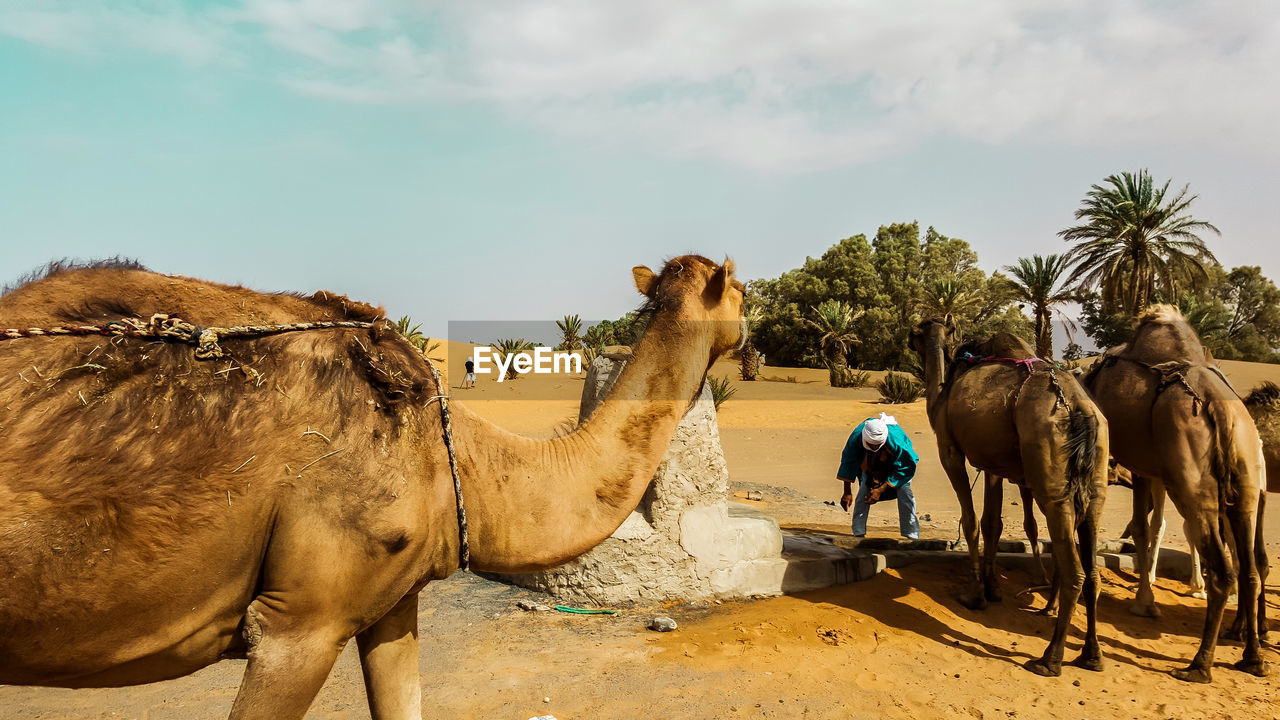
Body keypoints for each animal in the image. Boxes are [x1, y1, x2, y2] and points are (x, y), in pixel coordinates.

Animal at [911, 316, 1111, 676]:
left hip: (1051, 476)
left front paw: (975, 595)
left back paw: (1050, 659)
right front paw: (992, 589)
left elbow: (971, 521)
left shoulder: (949, 450)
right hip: (1097, 479)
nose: (908, 339)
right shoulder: (992, 462)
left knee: (1073, 569)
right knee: (1092, 568)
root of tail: (1079, 411)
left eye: (916, 332)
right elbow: (993, 521)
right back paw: (1092, 656)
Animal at [1080, 302, 1269, 676]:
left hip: (1193, 483)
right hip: (1246, 484)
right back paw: (1252, 657)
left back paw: (1200, 664)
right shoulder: (1152, 469)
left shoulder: (1141, 468)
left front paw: (1144, 603)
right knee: (1251, 571)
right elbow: (1150, 526)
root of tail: (1221, 410)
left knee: (1224, 570)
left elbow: (1141, 528)